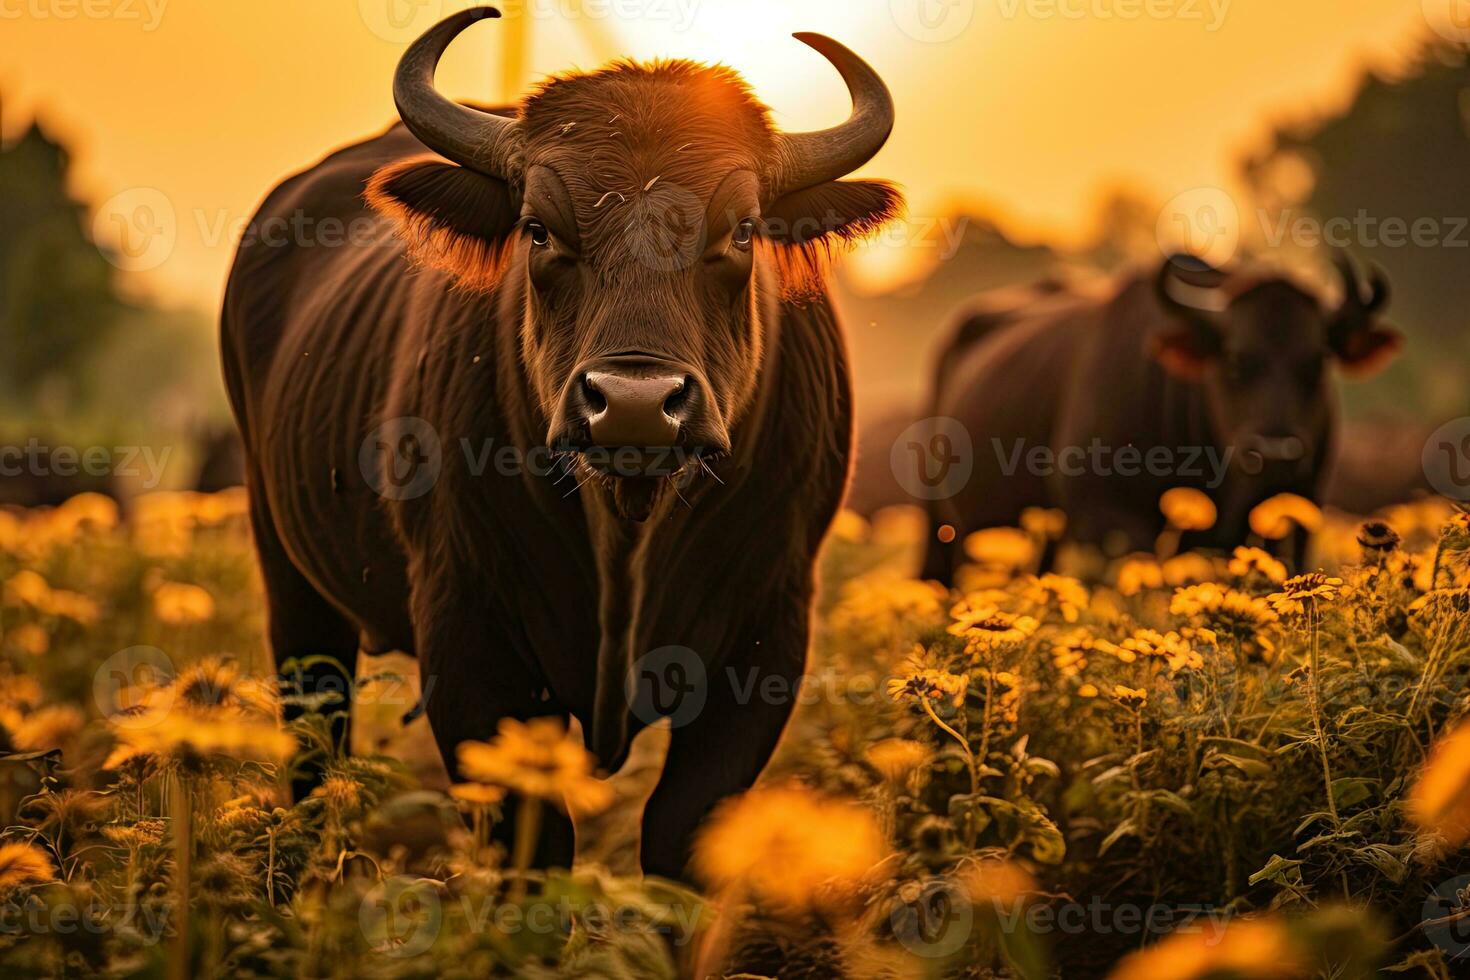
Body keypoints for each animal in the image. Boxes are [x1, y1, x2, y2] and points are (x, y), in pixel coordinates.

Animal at [220, 9, 893, 875]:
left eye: (742, 230)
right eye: (538, 231)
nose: (635, 406)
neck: (626, 539)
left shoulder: (767, 640)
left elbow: (679, 834)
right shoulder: (469, 644)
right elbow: (533, 846)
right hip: (290, 579)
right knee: (313, 746)